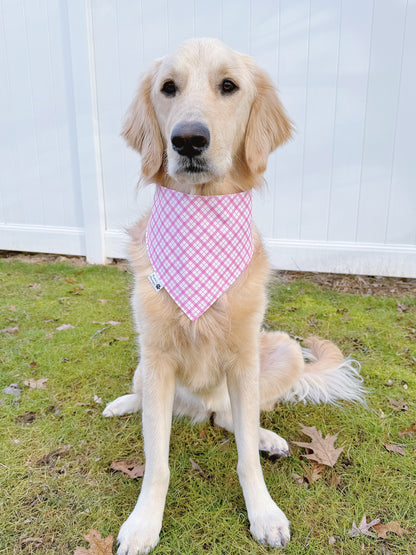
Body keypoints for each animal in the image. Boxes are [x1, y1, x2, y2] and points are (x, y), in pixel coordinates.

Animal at [103, 39, 364, 555]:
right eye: (169, 88)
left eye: (229, 86)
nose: (187, 140)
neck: (202, 216)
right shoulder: (157, 358)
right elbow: (157, 463)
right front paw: (143, 524)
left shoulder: (244, 359)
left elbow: (245, 459)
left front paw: (264, 513)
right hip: (145, 365)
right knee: (154, 403)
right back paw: (125, 404)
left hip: (282, 350)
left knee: (227, 419)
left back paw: (265, 436)